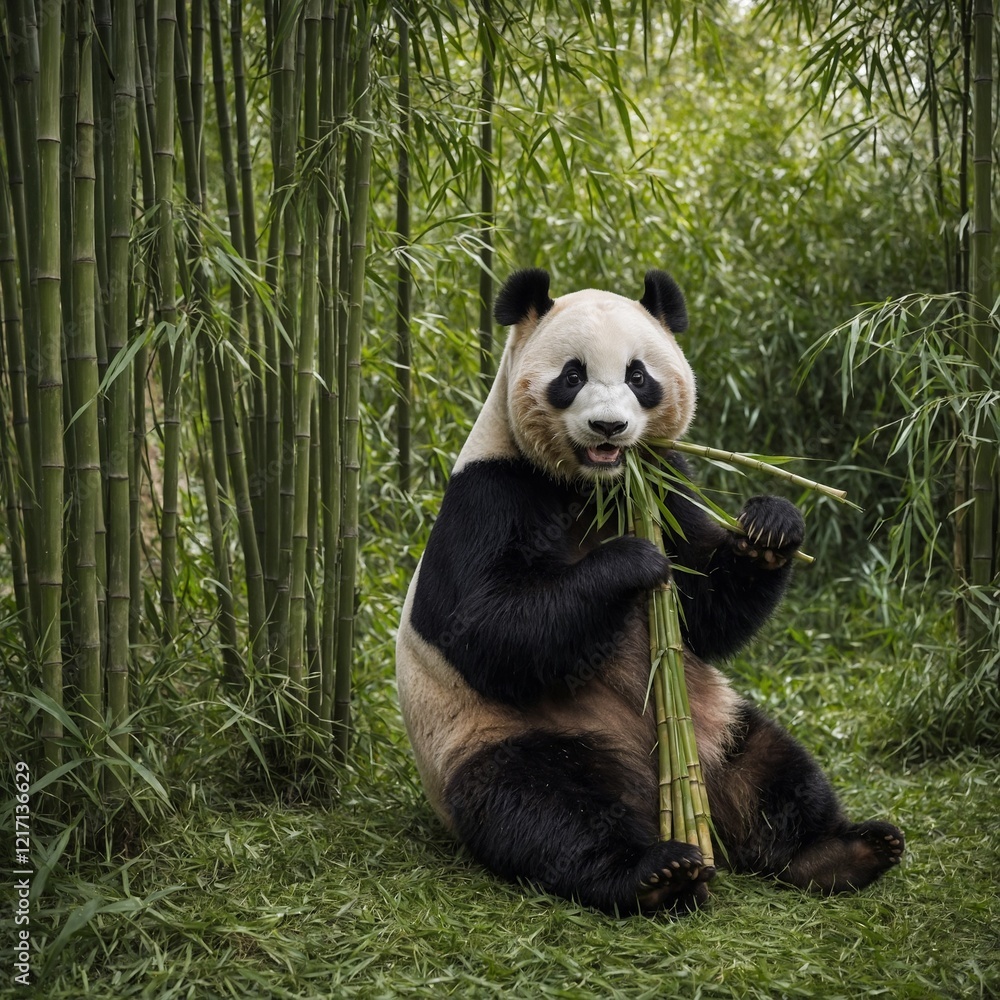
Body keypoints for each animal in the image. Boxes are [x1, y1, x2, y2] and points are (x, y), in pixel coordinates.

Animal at [395, 268, 904, 916]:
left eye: (639, 376)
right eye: (572, 375)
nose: (609, 428)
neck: (598, 485)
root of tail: (654, 786)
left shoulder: (664, 484)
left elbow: (705, 614)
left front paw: (769, 527)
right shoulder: (490, 494)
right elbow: (489, 629)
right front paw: (633, 561)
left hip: (716, 722)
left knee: (773, 769)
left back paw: (843, 852)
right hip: (503, 736)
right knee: (547, 808)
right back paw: (657, 872)